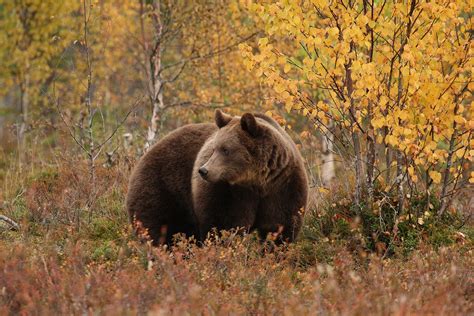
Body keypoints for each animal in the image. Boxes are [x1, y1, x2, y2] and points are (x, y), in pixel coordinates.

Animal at [126, 110, 310, 246]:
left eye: (226, 149)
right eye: (214, 148)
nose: (203, 170)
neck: (257, 182)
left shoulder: (283, 186)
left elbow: (280, 227)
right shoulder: (228, 193)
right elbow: (223, 226)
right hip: (163, 186)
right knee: (159, 227)